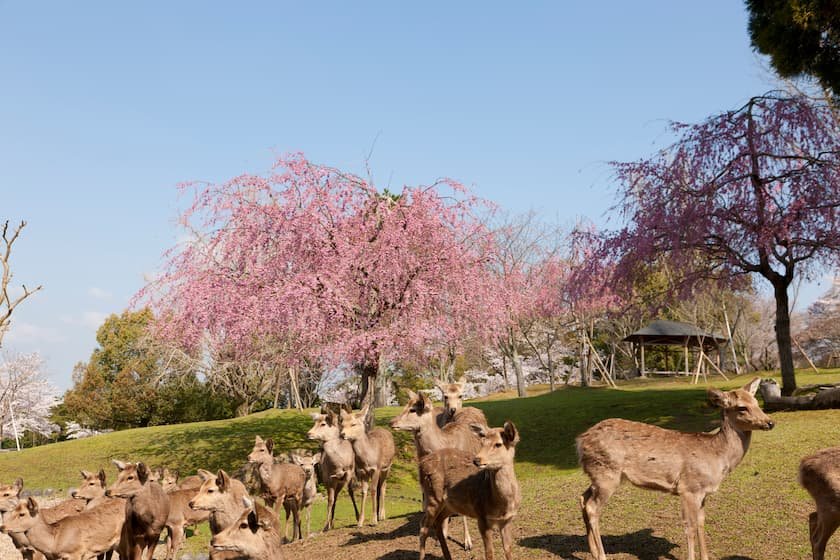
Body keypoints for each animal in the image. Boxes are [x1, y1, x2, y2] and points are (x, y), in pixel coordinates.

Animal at [418, 420, 521, 560]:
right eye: (482, 442)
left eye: (498, 444)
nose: (477, 460)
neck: (502, 504)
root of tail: (421, 464)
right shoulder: (481, 516)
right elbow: (489, 553)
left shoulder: (508, 520)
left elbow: (508, 549)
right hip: (432, 496)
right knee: (423, 526)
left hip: (450, 505)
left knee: (438, 522)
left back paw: (448, 556)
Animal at [576, 377, 775, 560]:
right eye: (742, 407)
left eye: (756, 402)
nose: (770, 422)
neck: (716, 456)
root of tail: (580, 441)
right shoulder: (688, 488)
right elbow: (690, 527)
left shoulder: (703, 492)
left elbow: (701, 523)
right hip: (607, 473)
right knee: (592, 508)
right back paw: (602, 555)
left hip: (597, 474)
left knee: (583, 498)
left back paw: (593, 552)